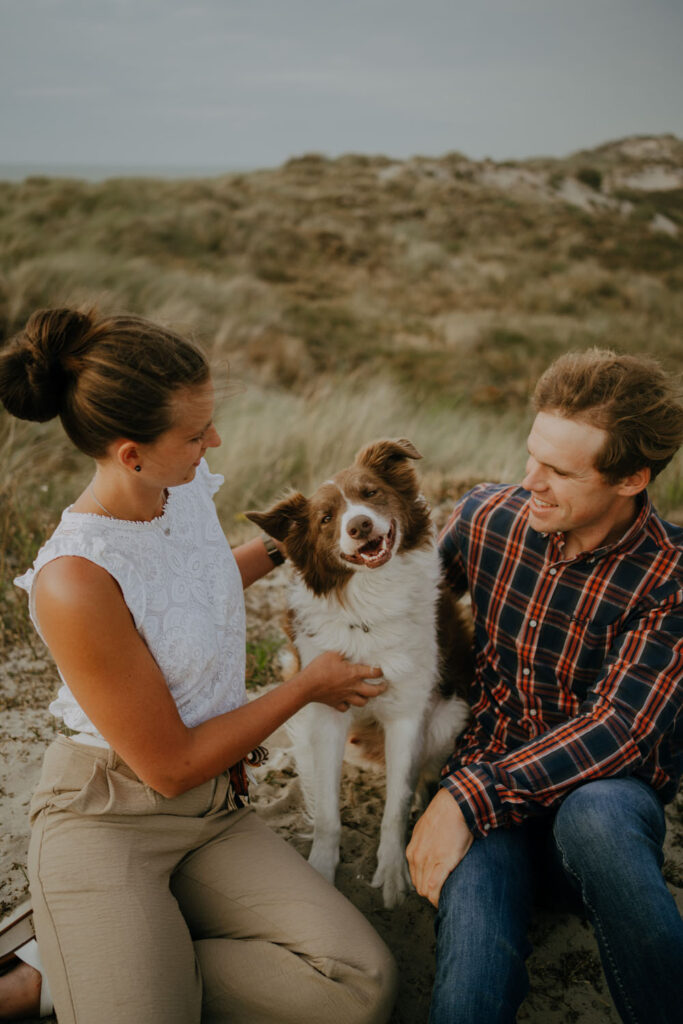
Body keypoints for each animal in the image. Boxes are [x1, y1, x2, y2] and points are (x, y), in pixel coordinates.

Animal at [248, 438, 473, 905]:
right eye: (325, 518)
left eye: (370, 493)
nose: (360, 526)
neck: (371, 598)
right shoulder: (328, 710)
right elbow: (329, 815)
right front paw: (321, 869)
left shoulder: (408, 713)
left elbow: (396, 805)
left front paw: (392, 871)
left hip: (448, 716)